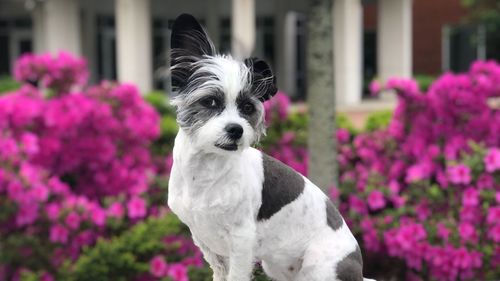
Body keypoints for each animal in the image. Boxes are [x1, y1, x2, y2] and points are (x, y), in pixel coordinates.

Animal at [167, 13, 368, 280]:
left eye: (247, 108)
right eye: (210, 102)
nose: (236, 129)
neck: (204, 175)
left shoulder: (241, 241)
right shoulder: (206, 242)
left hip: (320, 268)